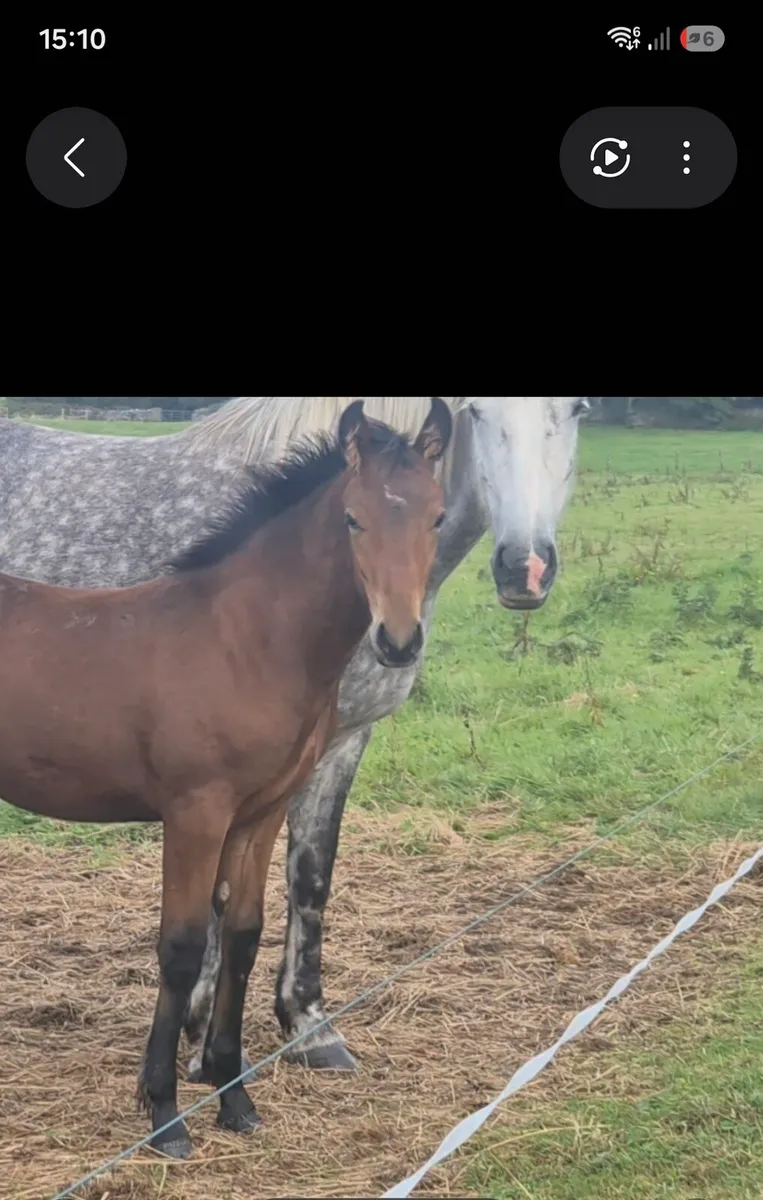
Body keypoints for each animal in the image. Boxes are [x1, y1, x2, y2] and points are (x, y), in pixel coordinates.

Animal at [0, 396, 589, 1075]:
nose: (526, 568)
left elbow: (308, 877)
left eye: (577, 408)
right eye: (477, 411)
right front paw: (199, 1036)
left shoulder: (338, 744)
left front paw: (308, 1026)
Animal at [0, 400, 452, 1158]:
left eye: (438, 517)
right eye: (352, 518)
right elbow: (182, 947)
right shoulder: (196, 811)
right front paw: (164, 1114)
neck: (244, 639)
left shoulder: (260, 812)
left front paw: (233, 1096)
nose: (397, 641)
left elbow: (241, 935)